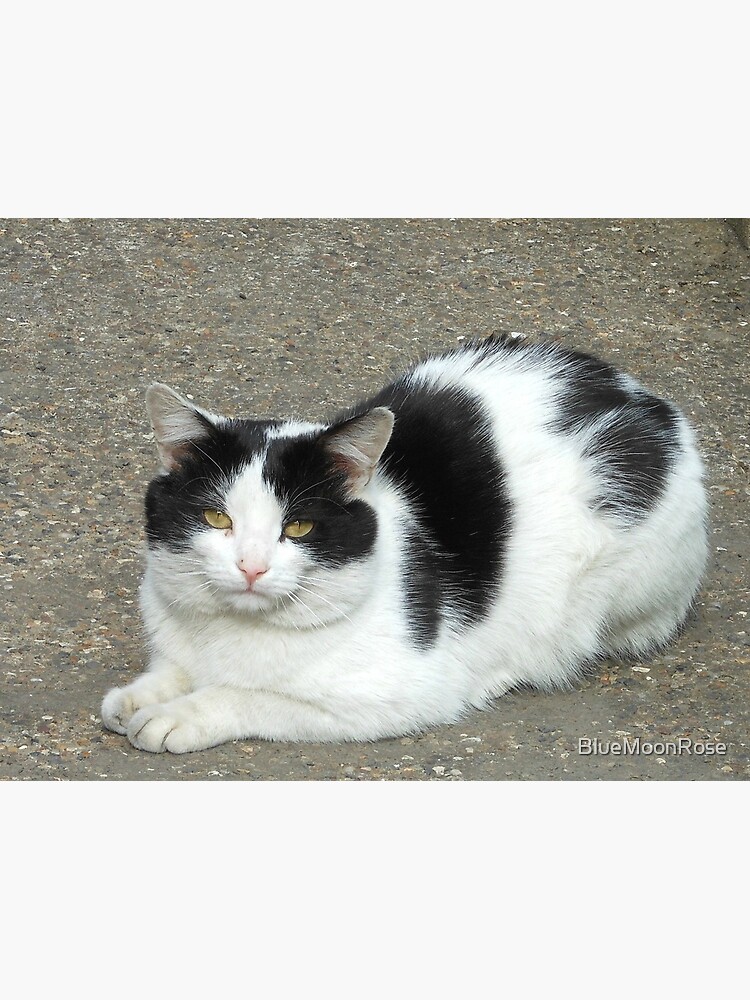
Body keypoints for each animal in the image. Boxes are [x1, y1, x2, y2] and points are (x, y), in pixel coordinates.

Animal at [101, 334, 712, 752]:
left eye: (298, 528)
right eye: (215, 518)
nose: (251, 567)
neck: (230, 635)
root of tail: (649, 400)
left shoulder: (395, 694)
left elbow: (255, 696)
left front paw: (181, 715)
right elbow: (170, 669)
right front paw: (138, 695)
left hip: (629, 585)